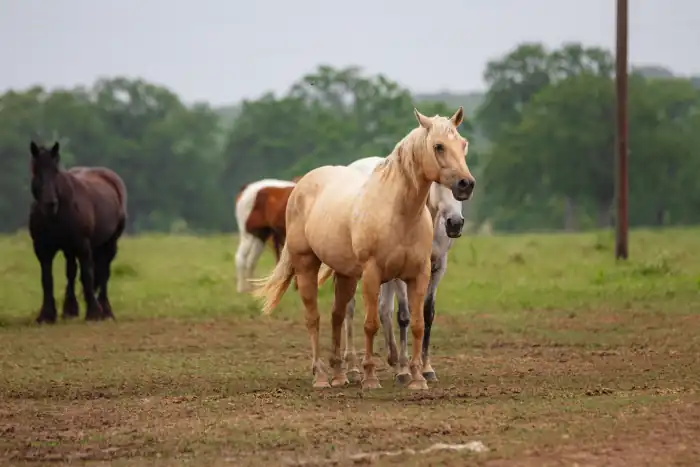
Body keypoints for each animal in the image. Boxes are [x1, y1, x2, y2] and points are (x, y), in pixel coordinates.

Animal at [28, 141, 127, 324]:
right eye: (36, 170)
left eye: (55, 171)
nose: (50, 203)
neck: (57, 214)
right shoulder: (42, 249)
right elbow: (47, 279)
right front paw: (46, 315)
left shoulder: (83, 246)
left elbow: (87, 275)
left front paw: (94, 313)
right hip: (71, 249)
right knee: (72, 271)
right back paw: (70, 310)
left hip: (110, 243)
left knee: (104, 273)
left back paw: (106, 311)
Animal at [332, 155, 465, 384]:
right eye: (439, 180)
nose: (455, 223)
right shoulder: (402, 275)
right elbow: (404, 316)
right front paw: (404, 370)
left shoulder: (437, 269)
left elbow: (427, 313)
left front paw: (426, 369)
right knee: (350, 308)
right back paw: (354, 368)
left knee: (383, 309)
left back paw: (392, 360)